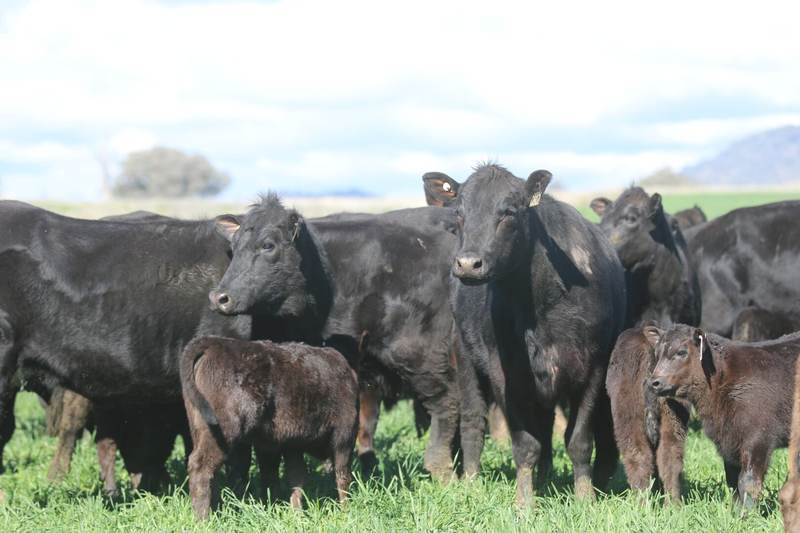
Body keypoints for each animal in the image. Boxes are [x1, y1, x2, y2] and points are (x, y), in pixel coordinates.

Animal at [181, 336, 359, 519]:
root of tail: (215, 343)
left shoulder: (290, 444)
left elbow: (294, 477)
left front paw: (296, 514)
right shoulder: (344, 437)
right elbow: (342, 475)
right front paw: (346, 512)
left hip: (200, 430)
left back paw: (215, 511)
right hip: (223, 431)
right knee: (201, 466)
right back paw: (204, 518)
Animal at [209, 194, 461, 480]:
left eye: (268, 245)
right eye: (234, 247)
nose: (220, 297)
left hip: (419, 352)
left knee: (445, 401)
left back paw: (440, 468)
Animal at [422, 163, 627, 506]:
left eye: (509, 212)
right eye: (459, 214)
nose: (468, 264)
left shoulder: (594, 367)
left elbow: (578, 441)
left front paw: (585, 498)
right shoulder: (505, 373)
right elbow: (525, 445)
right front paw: (524, 503)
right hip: (465, 356)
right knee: (473, 422)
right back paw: (472, 484)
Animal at [647, 324, 800, 507]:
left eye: (682, 352)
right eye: (657, 354)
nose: (653, 382)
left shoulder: (758, 438)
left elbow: (748, 482)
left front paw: (747, 513)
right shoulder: (728, 441)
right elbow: (733, 481)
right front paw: (735, 510)